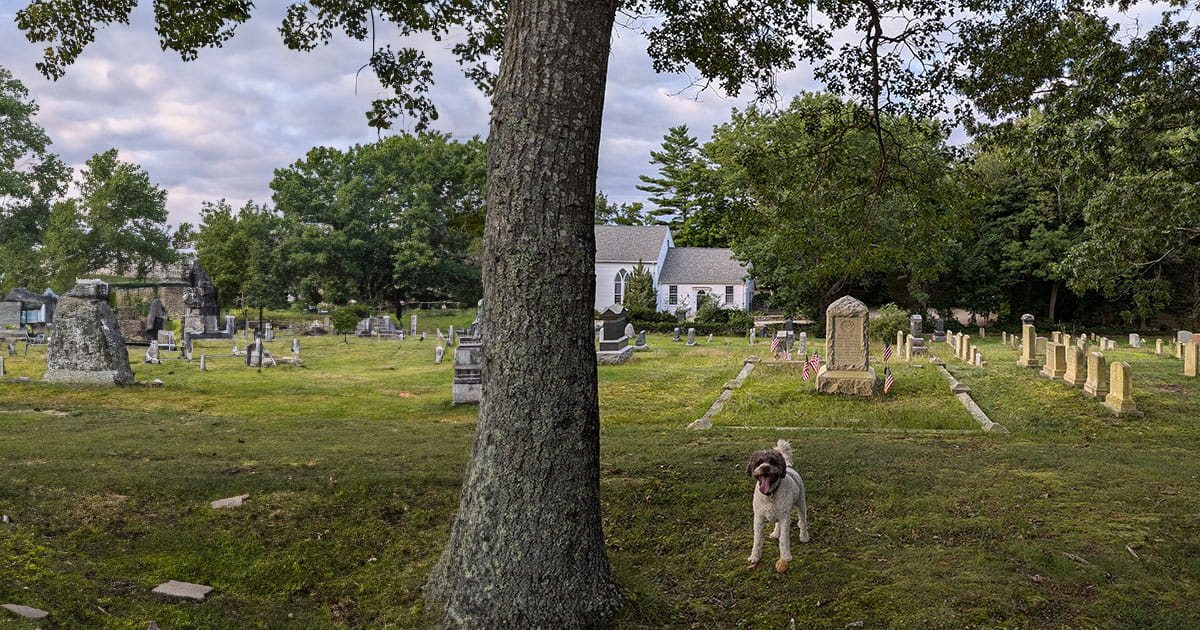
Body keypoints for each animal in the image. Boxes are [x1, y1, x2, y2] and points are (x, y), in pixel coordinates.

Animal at [744, 436, 811, 568]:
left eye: (773, 461)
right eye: (759, 462)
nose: (765, 467)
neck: (770, 494)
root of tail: (788, 467)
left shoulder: (785, 518)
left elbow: (784, 539)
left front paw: (786, 557)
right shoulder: (758, 519)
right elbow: (757, 540)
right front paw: (754, 557)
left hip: (801, 503)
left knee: (803, 520)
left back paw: (804, 536)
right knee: (777, 523)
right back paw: (775, 533)